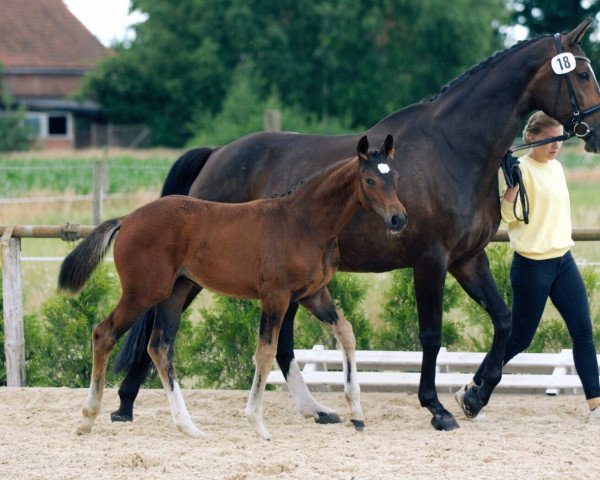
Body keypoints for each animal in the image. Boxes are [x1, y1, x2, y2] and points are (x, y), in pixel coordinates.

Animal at [58, 134, 406, 438]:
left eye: (395, 177)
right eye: (369, 180)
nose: (398, 219)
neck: (304, 222)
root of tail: (127, 219)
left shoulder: (313, 294)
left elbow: (346, 332)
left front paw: (357, 414)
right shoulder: (276, 296)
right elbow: (265, 352)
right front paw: (257, 424)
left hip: (175, 293)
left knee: (159, 347)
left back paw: (189, 427)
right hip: (143, 291)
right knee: (104, 333)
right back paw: (87, 420)